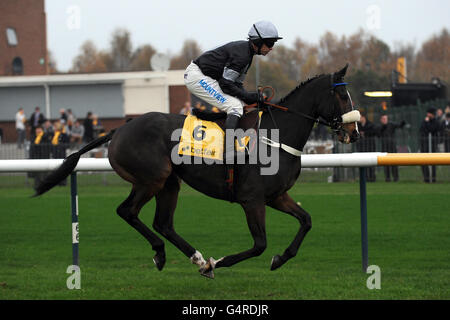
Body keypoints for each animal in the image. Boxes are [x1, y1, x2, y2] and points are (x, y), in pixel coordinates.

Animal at [34, 64, 358, 278]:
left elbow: (306, 221)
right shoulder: (252, 199)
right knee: (128, 211)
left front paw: (280, 259)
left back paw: (197, 259)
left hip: (169, 183)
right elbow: (259, 244)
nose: (354, 132)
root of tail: (120, 128)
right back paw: (166, 254)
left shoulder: (276, 196)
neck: (276, 137)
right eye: (343, 97)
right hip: (151, 179)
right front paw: (221, 262)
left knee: (163, 223)